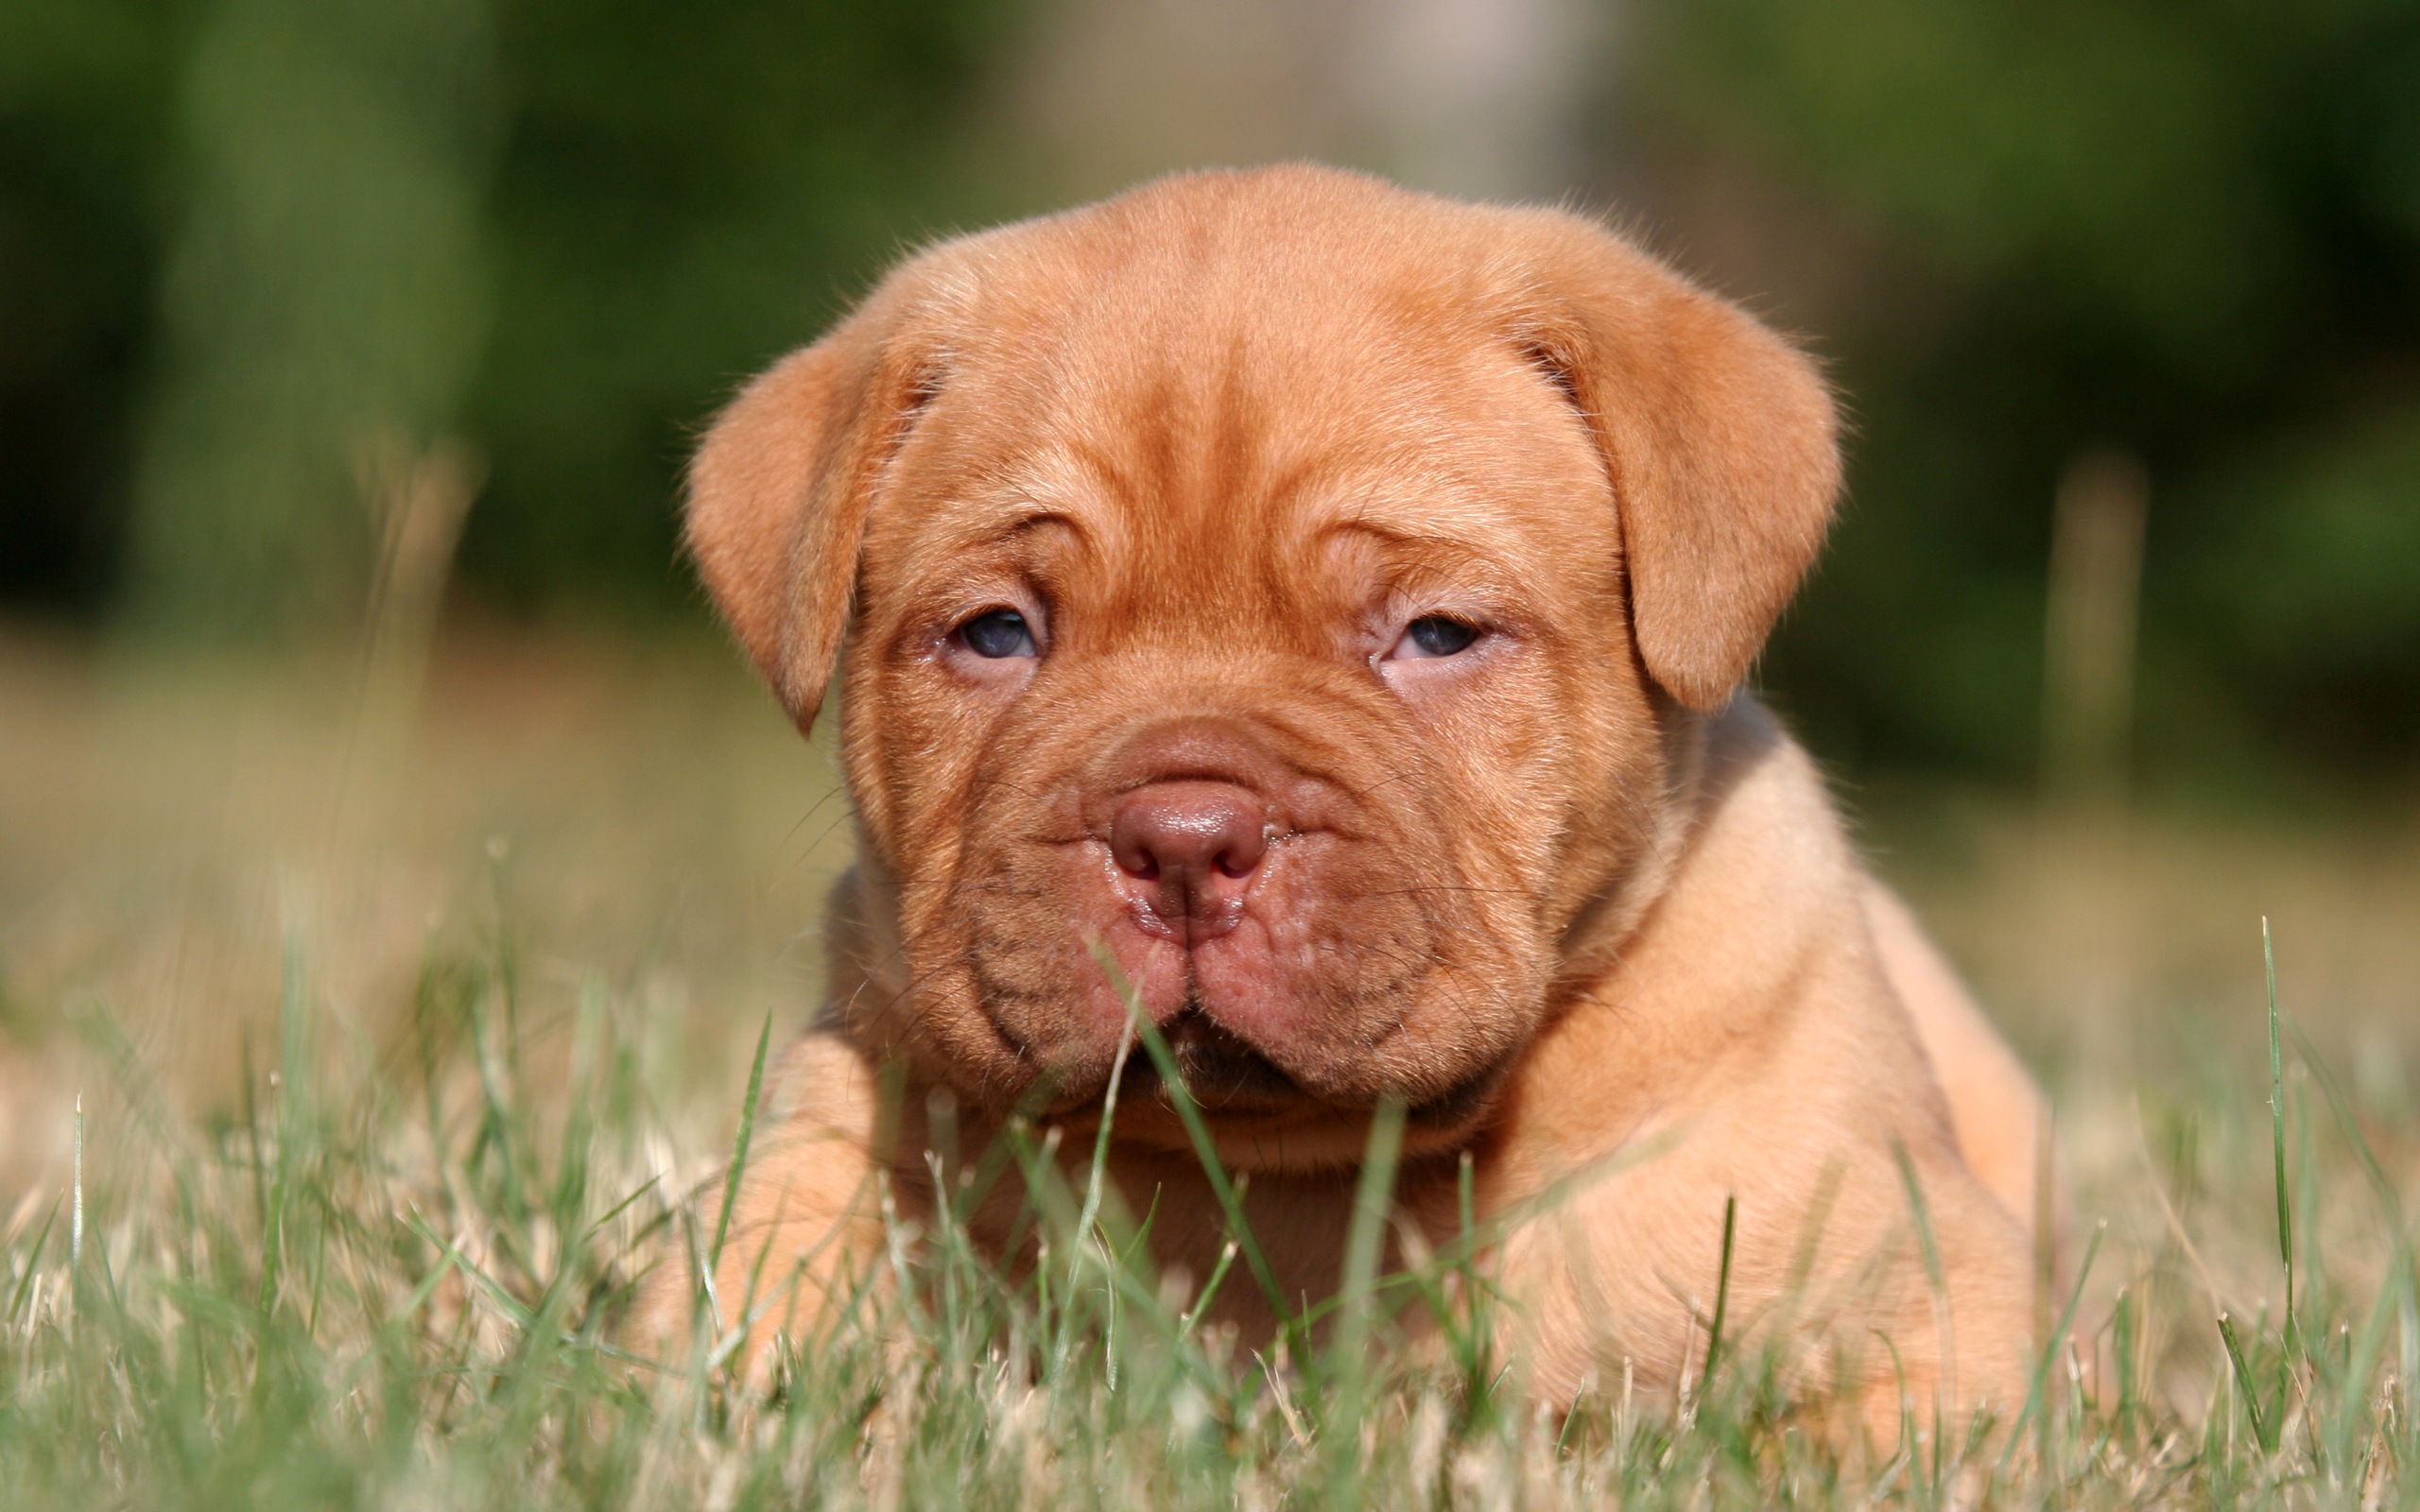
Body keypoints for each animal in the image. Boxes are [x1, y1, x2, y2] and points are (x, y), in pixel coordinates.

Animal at [643, 167, 2042, 1441]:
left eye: (1434, 635)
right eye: (996, 633)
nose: (1183, 844)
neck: (1285, 1162)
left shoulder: (1925, 1316)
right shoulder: (837, 1145)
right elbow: (742, 1315)